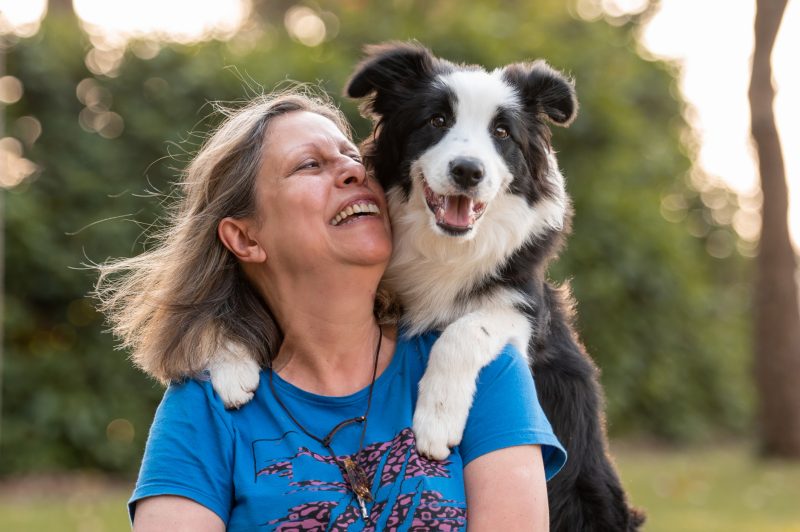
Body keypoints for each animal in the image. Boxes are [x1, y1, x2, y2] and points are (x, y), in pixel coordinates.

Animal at [344, 42, 644, 532]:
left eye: (502, 132)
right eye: (436, 121)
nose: (468, 171)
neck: (448, 248)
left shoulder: (524, 311)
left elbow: (462, 332)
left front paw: (435, 421)